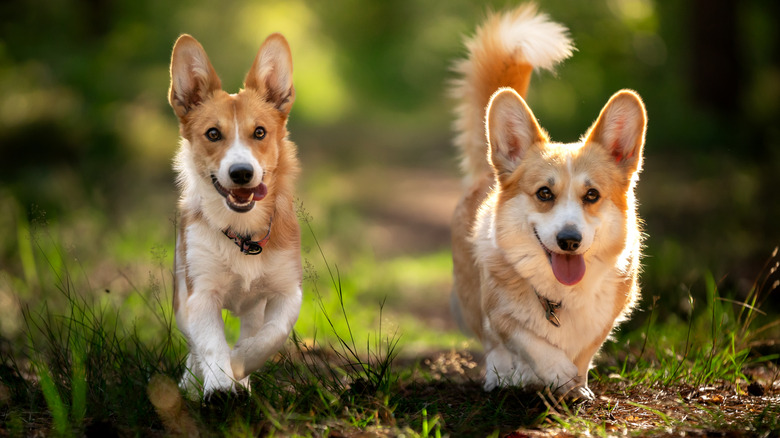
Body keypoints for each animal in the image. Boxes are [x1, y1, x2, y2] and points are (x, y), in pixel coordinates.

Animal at [168, 32, 302, 398]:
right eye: (213, 134)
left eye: (260, 132)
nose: (241, 173)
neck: (242, 232)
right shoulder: (201, 295)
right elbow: (211, 345)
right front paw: (219, 386)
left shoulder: (289, 290)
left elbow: (272, 334)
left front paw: (240, 365)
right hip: (181, 295)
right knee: (193, 346)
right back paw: (191, 382)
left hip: (253, 306)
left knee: (253, 327)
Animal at [448, 4, 648, 400]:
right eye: (544, 193)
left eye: (592, 195)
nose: (569, 240)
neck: (560, 295)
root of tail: (488, 169)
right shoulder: (500, 314)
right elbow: (532, 343)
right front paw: (556, 374)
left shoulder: (607, 317)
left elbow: (585, 353)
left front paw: (578, 386)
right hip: (470, 296)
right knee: (493, 346)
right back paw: (502, 376)